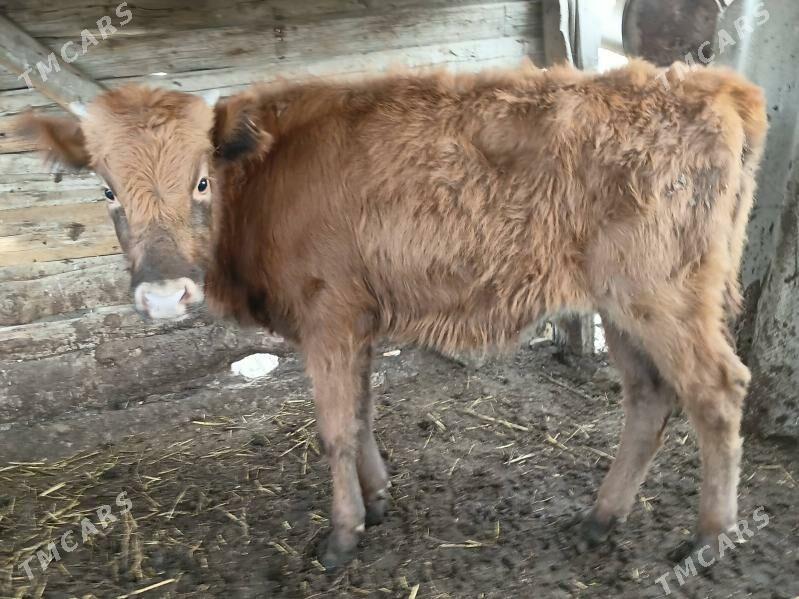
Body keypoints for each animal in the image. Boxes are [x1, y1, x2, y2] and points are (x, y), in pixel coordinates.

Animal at [18, 59, 767, 570]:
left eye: (200, 181)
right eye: (107, 189)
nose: (163, 294)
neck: (263, 178)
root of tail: (716, 86)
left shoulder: (327, 315)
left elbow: (333, 429)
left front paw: (342, 534)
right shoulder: (357, 317)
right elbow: (361, 413)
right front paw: (376, 501)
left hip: (664, 296)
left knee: (716, 392)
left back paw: (709, 537)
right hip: (620, 303)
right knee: (648, 397)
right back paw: (600, 518)